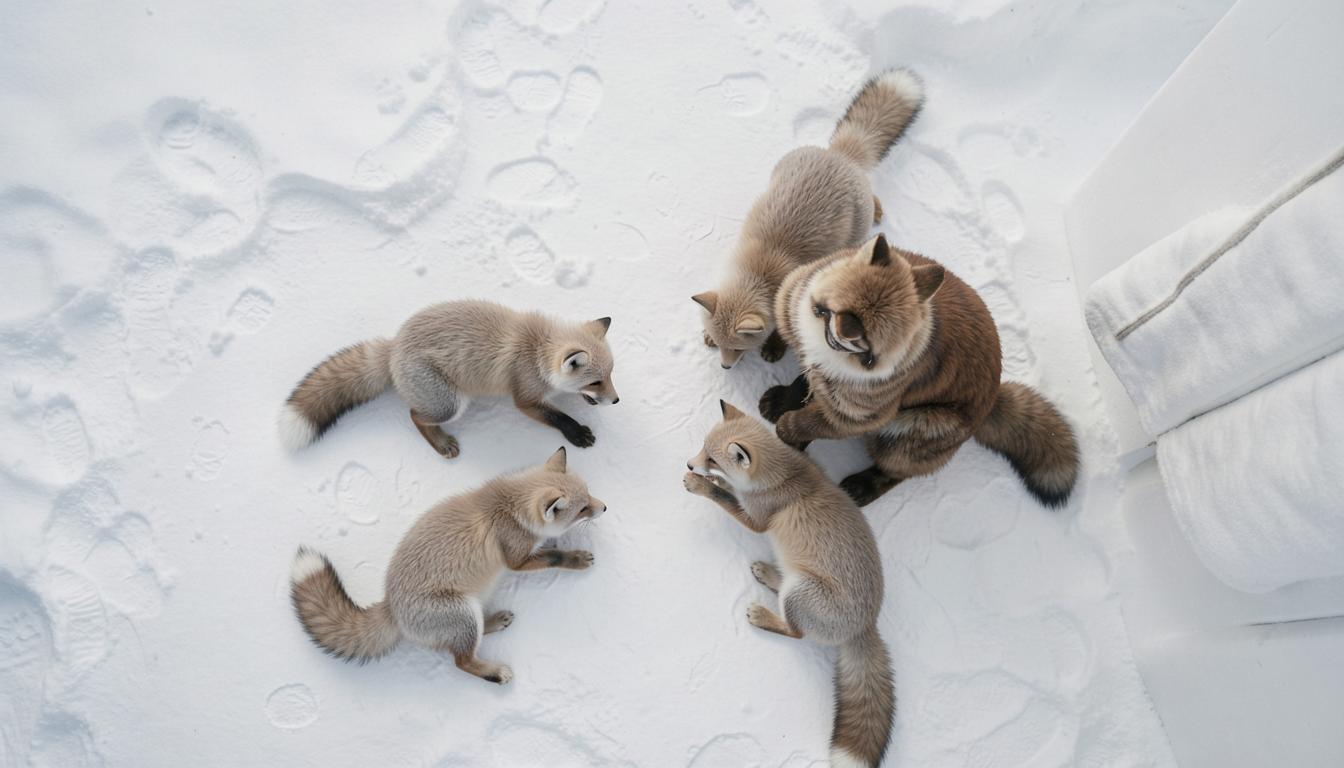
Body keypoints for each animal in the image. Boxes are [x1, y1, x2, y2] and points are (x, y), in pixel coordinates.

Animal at [278, 300, 618, 457]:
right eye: (595, 382)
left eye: (610, 375)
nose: (616, 400)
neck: (535, 348)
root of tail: (394, 347)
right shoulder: (524, 398)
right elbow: (557, 417)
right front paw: (577, 433)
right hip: (449, 404)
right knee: (414, 415)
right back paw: (441, 444)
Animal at [290, 446, 603, 683]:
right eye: (583, 509)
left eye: (589, 494)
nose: (605, 507)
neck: (508, 509)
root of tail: (390, 604)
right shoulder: (515, 559)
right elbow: (552, 558)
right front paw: (576, 558)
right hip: (463, 614)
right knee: (462, 661)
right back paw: (494, 673)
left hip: (470, 611)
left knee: (473, 637)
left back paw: (496, 620)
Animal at [684, 400, 894, 768]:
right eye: (703, 449)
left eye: (713, 458)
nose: (689, 463)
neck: (784, 478)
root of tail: (866, 624)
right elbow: (730, 491)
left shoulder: (755, 520)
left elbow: (723, 495)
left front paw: (700, 484)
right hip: (796, 585)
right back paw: (768, 574)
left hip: (800, 593)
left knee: (795, 632)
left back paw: (764, 615)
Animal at [693, 69, 925, 369]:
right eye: (722, 346)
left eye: (737, 347)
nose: (725, 366)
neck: (759, 268)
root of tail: (841, 154)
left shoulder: (797, 290)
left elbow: (784, 326)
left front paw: (775, 347)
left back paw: (877, 210)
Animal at [762, 232, 1080, 508]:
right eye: (849, 308)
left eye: (872, 338)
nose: (846, 334)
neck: (825, 357)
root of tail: (992, 400)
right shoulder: (817, 365)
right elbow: (802, 386)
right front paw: (780, 398)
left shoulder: (858, 415)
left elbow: (809, 421)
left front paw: (788, 433)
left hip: (905, 435)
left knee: (895, 474)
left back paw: (862, 487)